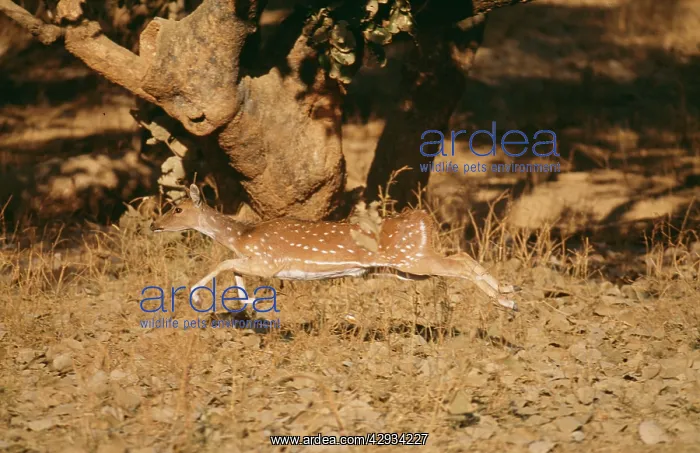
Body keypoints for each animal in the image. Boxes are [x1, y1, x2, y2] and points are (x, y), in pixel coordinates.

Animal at [150, 184, 520, 312]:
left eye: (177, 208)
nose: (155, 224)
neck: (242, 234)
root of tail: (425, 219)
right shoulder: (256, 261)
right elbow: (235, 270)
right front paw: (251, 303)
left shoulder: (271, 260)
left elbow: (225, 264)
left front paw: (194, 295)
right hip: (407, 267)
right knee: (461, 257)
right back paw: (509, 293)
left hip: (412, 258)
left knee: (459, 263)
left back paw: (507, 299)